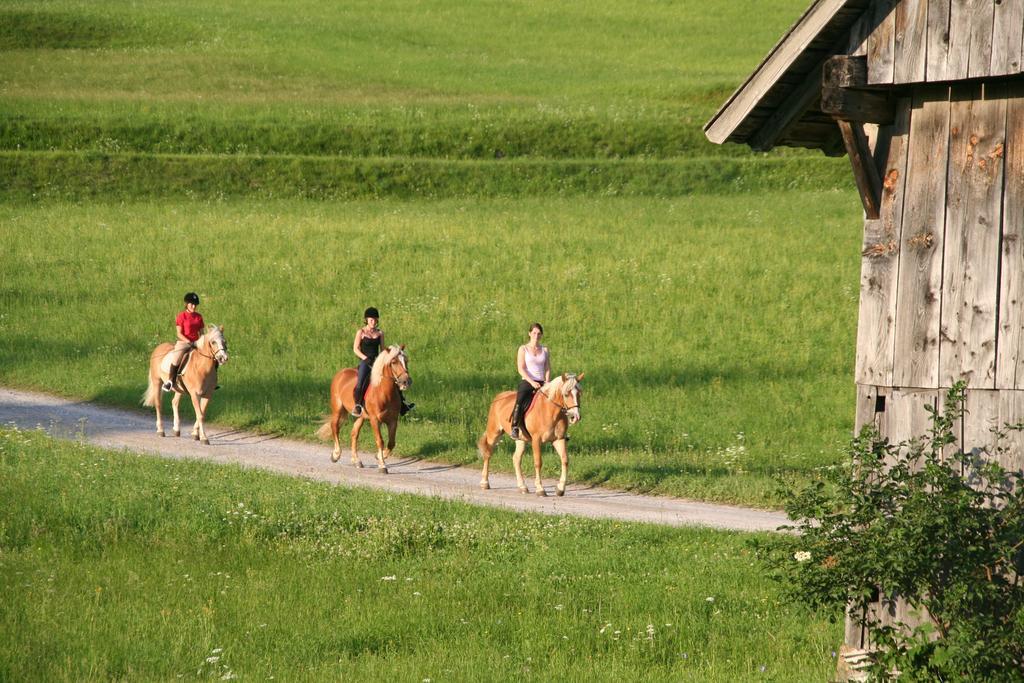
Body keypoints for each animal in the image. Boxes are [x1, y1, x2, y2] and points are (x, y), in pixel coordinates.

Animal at [321, 344, 413, 473]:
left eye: (406, 360)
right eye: (394, 362)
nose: (406, 381)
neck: (384, 393)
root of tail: (341, 373)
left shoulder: (393, 421)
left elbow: (391, 443)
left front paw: (379, 456)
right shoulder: (374, 420)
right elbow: (380, 441)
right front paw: (382, 465)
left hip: (361, 416)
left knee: (354, 433)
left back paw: (356, 461)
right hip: (337, 408)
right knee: (335, 427)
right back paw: (336, 455)